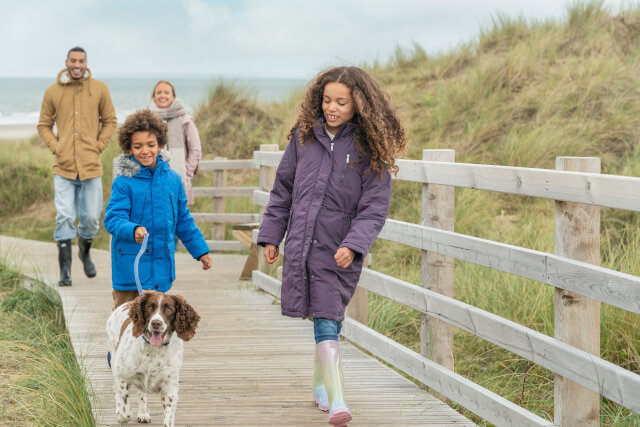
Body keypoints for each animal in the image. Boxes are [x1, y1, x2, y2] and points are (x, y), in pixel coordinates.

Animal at [107, 290, 200, 427]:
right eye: (150, 307)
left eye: (169, 310)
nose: (156, 323)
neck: (153, 350)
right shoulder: (122, 376)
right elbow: (125, 412)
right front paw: (120, 414)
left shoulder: (169, 388)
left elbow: (168, 418)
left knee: (141, 393)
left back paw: (143, 414)